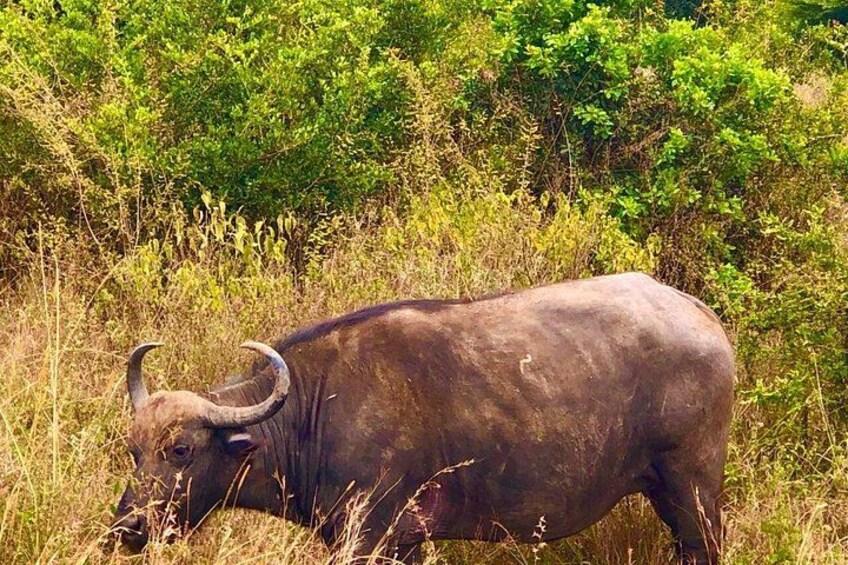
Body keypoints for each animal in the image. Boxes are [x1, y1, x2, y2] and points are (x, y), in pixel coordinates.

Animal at [111, 272, 734, 563]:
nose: (128, 528)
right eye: (133, 450)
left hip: (693, 493)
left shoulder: (368, 536)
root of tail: (702, 317)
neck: (316, 410)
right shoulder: (404, 542)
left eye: (181, 450)